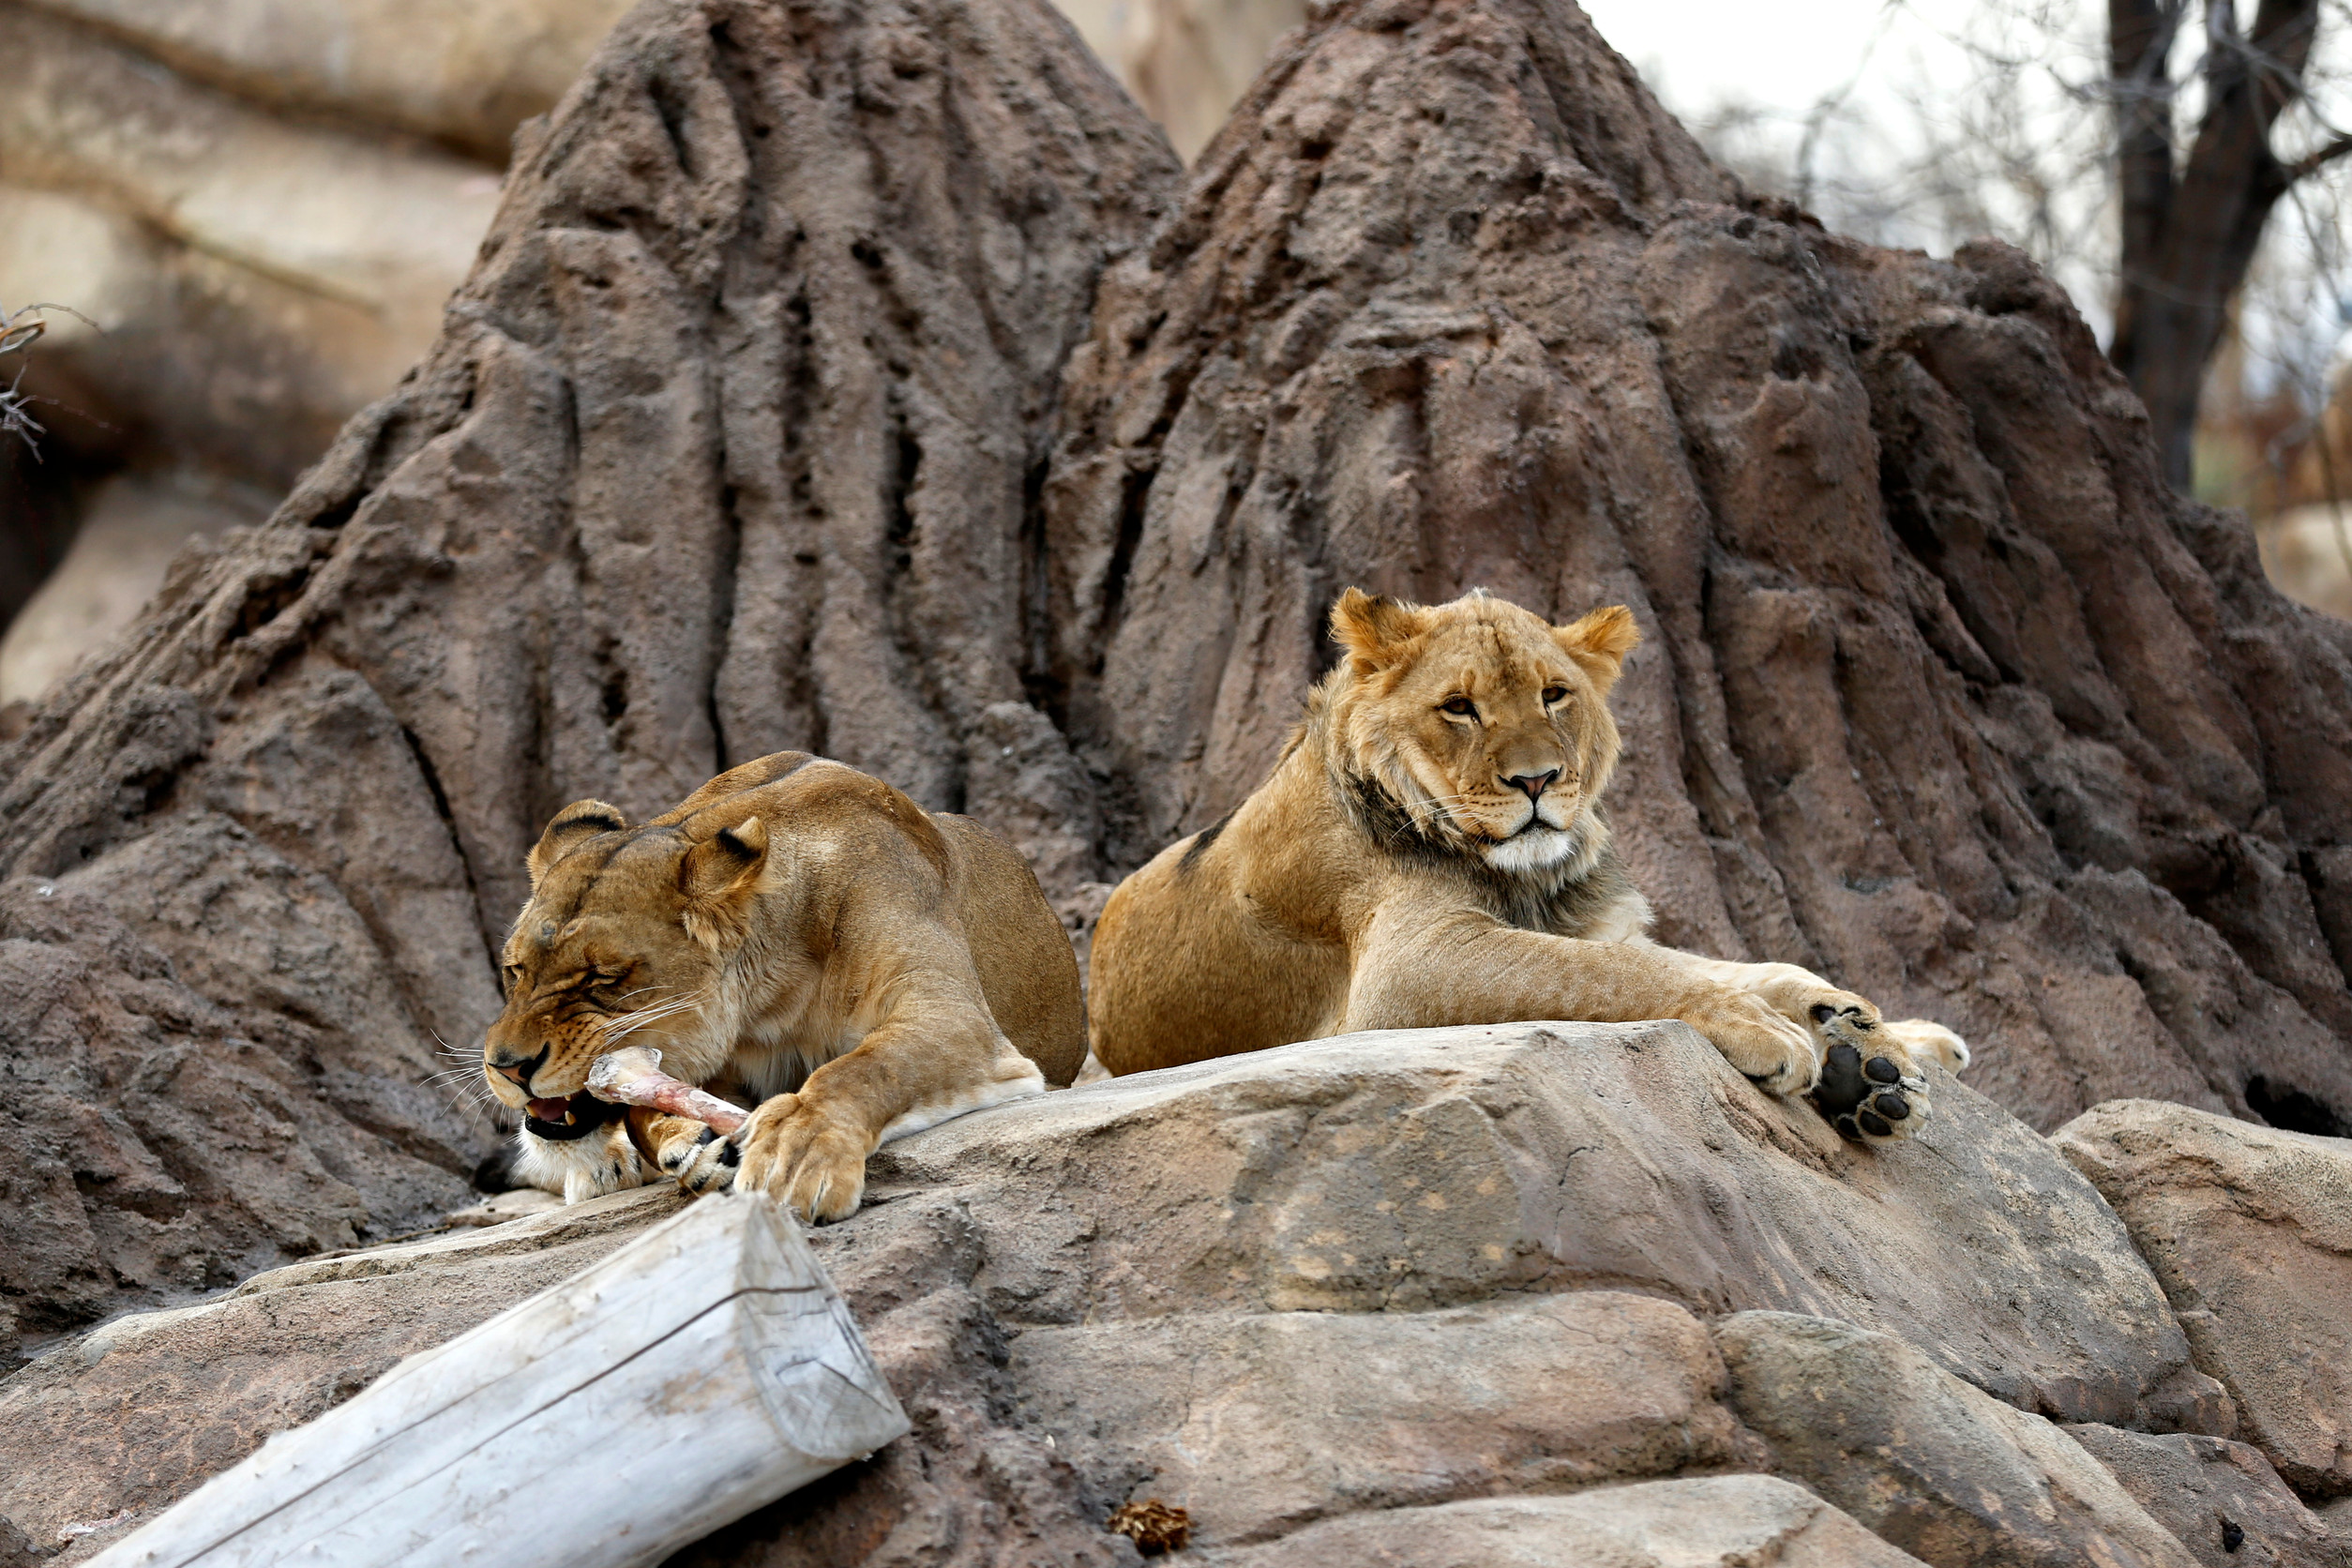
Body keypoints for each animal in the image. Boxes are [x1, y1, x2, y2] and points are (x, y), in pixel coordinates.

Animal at [481, 750, 1086, 1219]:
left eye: (603, 977)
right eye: (514, 970)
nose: (506, 1068)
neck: (771, 1000)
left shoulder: (952, 1014)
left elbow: (861, 1068)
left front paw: (795, 1152)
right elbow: (642, 1111)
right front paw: (691, 1146)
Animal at [1087, 588, 1968, 1141]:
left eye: (1554, 695)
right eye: (1459, 707)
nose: (1537, 781)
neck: (1531, 877)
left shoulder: (1601, 924)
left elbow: (1732, 962)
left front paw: (1855, 1031)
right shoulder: (1407, 967)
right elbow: (1611, 975)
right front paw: (1771, 1030)